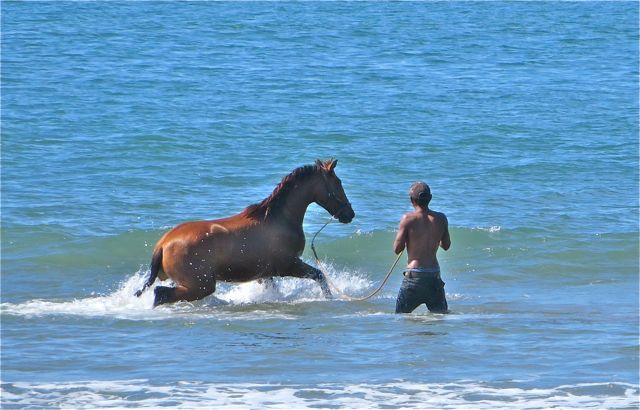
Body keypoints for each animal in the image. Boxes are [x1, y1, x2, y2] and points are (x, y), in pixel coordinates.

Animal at [134, 159, 355, 307]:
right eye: (338, 183)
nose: (350, 214)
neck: (279, 219)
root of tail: (163, 244)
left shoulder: (265, 274)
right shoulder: (289, 265)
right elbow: (320, 275)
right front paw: (329, 298)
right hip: (200, 285)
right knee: (161, 294)